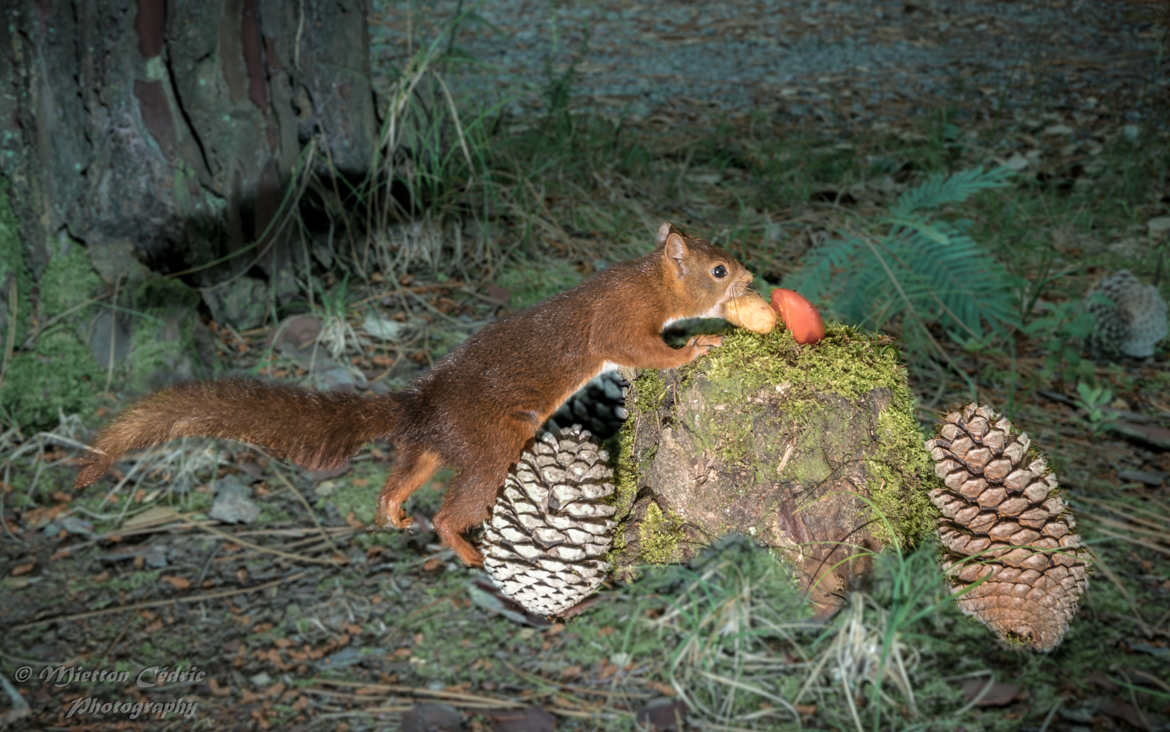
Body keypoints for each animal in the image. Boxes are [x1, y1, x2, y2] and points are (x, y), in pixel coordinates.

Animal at [75, 222, 748, 563]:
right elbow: (642, 349)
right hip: (491, 445)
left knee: (398, 479)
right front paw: (697, 347)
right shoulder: (620, 321)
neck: (645, 280)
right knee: (453, 511)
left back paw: (392, 513)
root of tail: (421, 403)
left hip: (425, 450)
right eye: (719, 269)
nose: (750, 279)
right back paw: (464, 549)